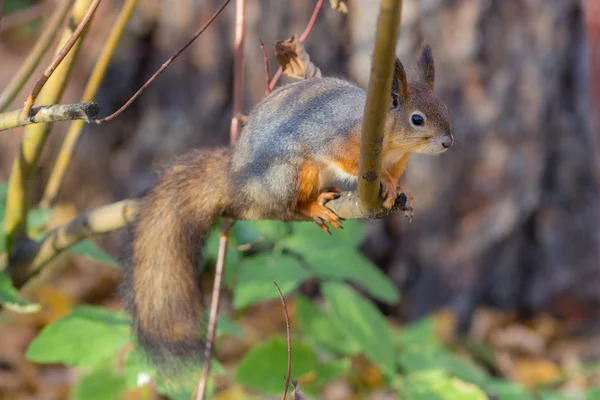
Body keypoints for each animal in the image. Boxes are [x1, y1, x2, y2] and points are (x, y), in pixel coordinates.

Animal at [123, 45, 454, 368]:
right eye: (417, 119)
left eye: (445, 108)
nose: (448, 142)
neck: (394, 145)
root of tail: (236, 180)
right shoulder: (343, 141)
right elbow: (346, 160)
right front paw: (383, 179)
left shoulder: (400, 161)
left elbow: (397, 179)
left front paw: (403, 192)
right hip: (292, 171)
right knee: (288, 207)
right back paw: (314, 208)